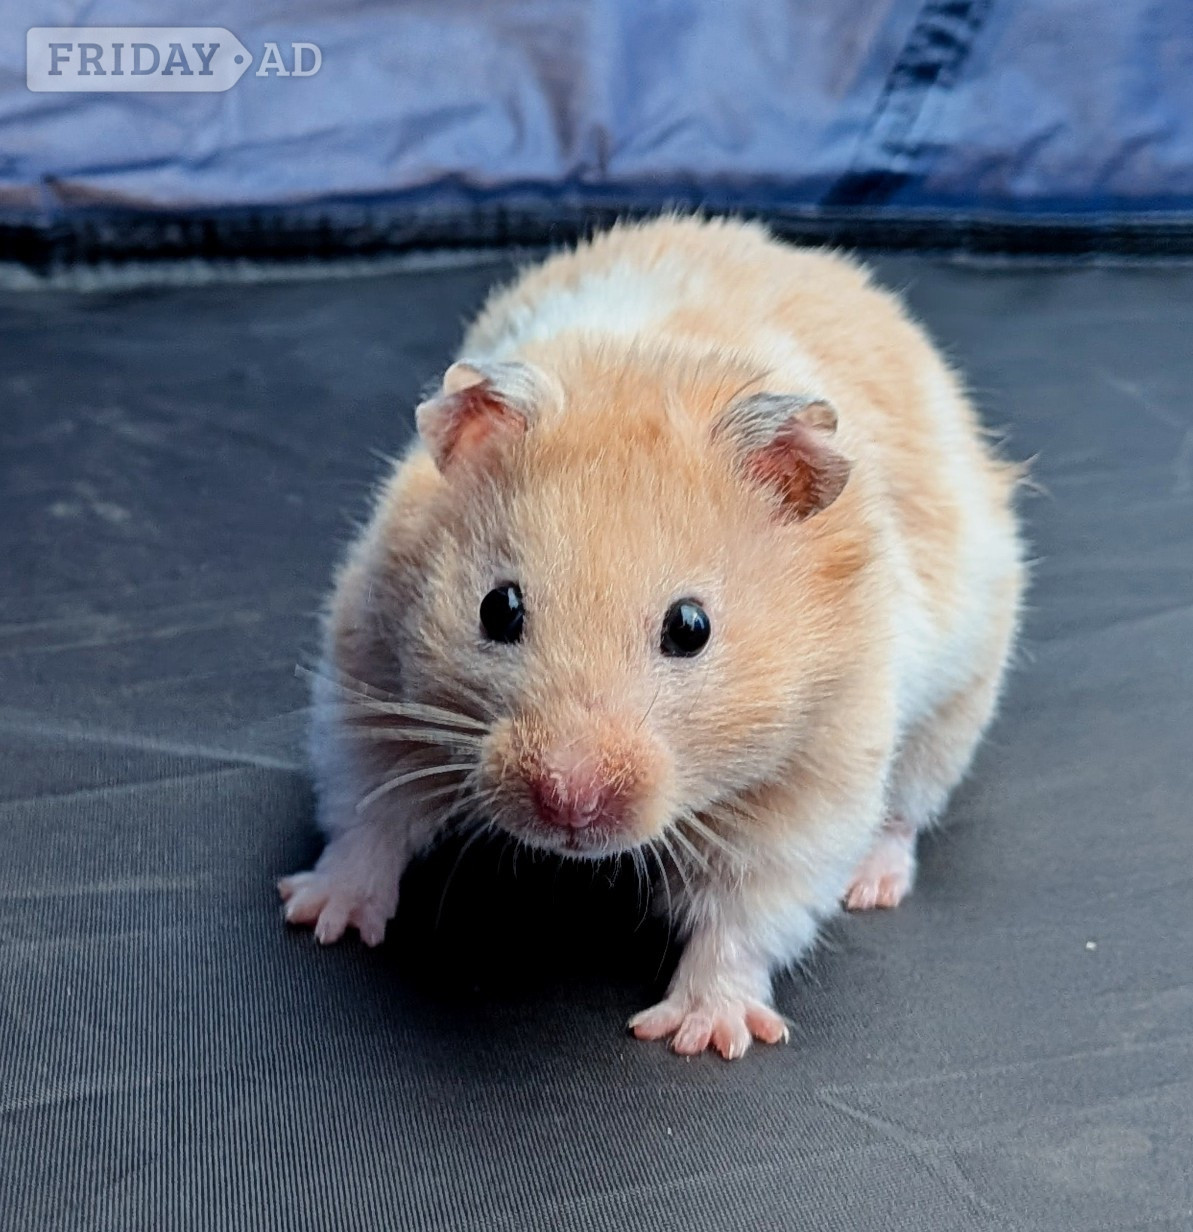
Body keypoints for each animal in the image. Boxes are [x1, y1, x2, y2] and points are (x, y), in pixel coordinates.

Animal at [279, 215, 1025, 1060]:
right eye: (497, 609)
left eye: (690, 628)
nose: (568, 807)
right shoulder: (370, 668)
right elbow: (367, 806)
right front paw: (321, 917)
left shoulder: (818, 763)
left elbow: (752, 909)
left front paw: (702, 1034)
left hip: (956, 707)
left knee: (904, 813)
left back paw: (870, 884)